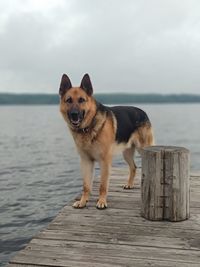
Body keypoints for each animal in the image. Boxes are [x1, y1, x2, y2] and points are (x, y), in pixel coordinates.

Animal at [58, 74, 154, 210]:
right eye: (69, 100)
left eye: (81, 100)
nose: (74, 114)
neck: (88, 127)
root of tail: (143, 112)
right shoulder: (86, 161)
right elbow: (86, 185)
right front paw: (83, 201)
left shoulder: (105, 161)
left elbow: (102, 185)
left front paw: (102, 201)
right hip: (126, 153)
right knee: (134, 167)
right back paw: (129, 184)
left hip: (144, 149)